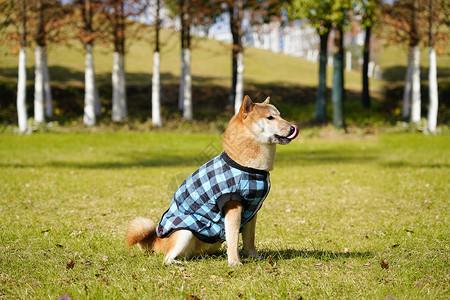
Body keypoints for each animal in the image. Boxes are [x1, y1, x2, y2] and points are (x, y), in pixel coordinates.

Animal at [125, 95, 298, 264]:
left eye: (280, 116)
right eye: (270, 118)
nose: (292, 128)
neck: (247, 165)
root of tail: (158, 241)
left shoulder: (252, 209)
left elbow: (249, 241)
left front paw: (254, 258)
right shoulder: (233, 204)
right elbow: (233, 239)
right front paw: (235, 262)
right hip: (185, 232)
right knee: (167, 258)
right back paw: (179, 263)